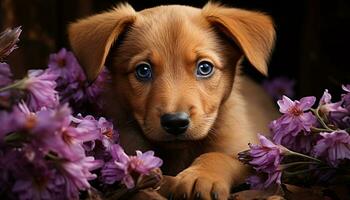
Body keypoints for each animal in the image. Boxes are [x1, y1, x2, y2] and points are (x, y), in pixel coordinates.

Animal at [68, 2, 278, 199]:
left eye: (205, 68)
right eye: (143, 70)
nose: (176, 122)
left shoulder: (247, 153)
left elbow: (220, 156)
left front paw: (201, 176)